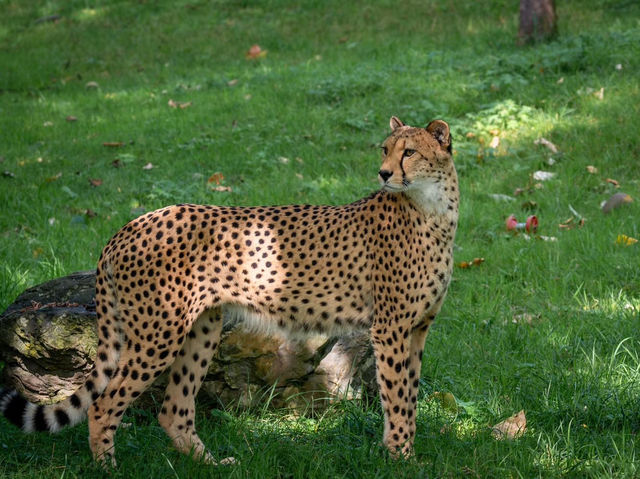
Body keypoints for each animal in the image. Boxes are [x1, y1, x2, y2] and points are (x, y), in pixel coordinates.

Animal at [1, 118, 460, 466]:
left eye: (409, 152)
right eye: (385, 150)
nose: (384, 174)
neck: (434, 209)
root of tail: (129, 225)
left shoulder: (417, 328)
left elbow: (409, 394)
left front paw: (402, 452)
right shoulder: (390, 329)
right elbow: (397, 397)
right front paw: (401, 458)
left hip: (201, 329)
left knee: (173, 409)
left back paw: (209, 463)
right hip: (157, 334)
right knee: (103, 403)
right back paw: (107, 467)